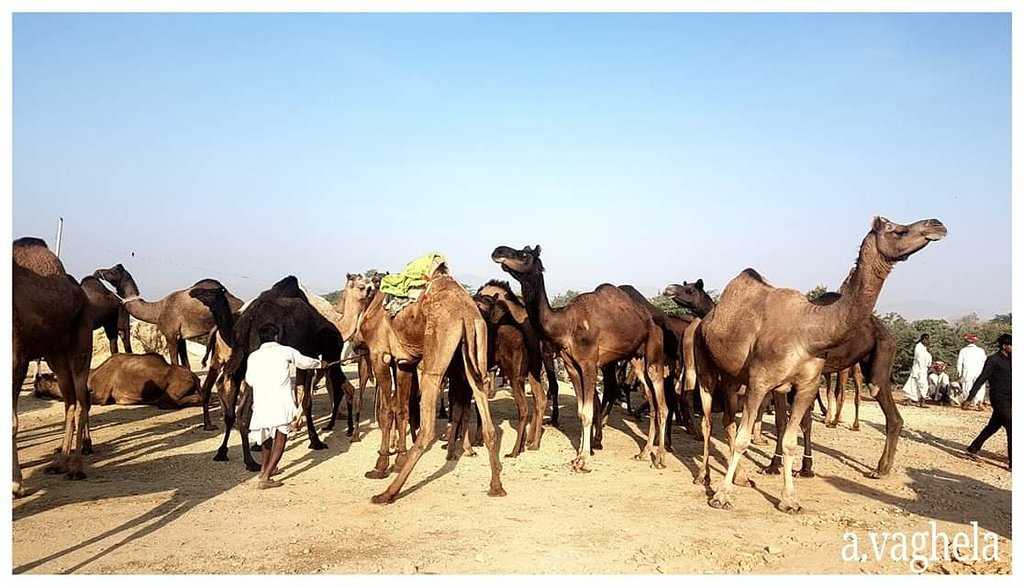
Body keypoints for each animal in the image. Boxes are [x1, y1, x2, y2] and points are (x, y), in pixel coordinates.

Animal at [13, 234, 94, 493]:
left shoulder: (16, 358)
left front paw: (15, 484)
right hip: (54, 354)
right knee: (69, 401)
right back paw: (59, 463)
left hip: (81, 343)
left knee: (82, 400)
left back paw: (76, 468)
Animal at [92, 264, 243, 368]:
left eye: (113, 270)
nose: (97, 272)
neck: (157, 310)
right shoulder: (180, 337)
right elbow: (186, 365)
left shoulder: (170, 335)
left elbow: (174, 363)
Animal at [489, 244, 671, 469]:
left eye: (524, 254)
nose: (498, 251)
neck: (565, 324)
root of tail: (654, 320)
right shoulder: (571, 366)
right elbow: (581, 411)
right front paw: (580, 455)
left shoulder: (589, 363)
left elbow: (588, 411)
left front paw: (583, 459)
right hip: (637, 360)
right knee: (653, 404)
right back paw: (644, 453)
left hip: (654, 355)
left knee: (662, 406)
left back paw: (660, 458)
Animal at [696, 216, 942, 512]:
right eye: (897, 230)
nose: (937, 225)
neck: (810, 332)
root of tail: (706, 319)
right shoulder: (760, 382)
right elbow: (747, 438)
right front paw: (722, 496)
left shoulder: (805, 385)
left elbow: (790, 438)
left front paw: (790, 499)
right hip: (706, 366)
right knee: (709, 421)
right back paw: (704, 477)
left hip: (736, 377)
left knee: (728, 420)